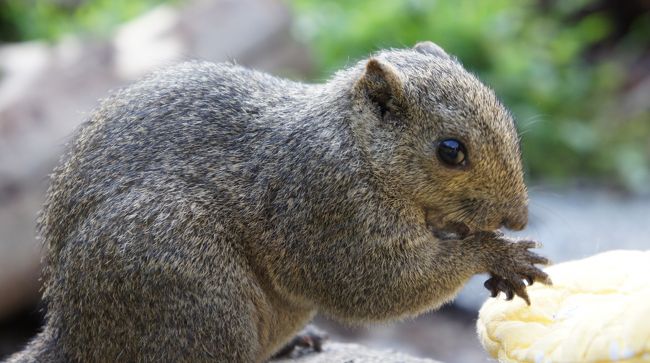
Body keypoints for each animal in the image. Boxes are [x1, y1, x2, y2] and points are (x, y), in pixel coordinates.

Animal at [8, 42, 548, 363]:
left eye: (504, 115)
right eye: (450, 150)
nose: (519, 218)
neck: (356, 145)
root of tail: (75, 336)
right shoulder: (326, 205)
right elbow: (379, 284)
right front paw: (497, 254)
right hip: (190, 289)